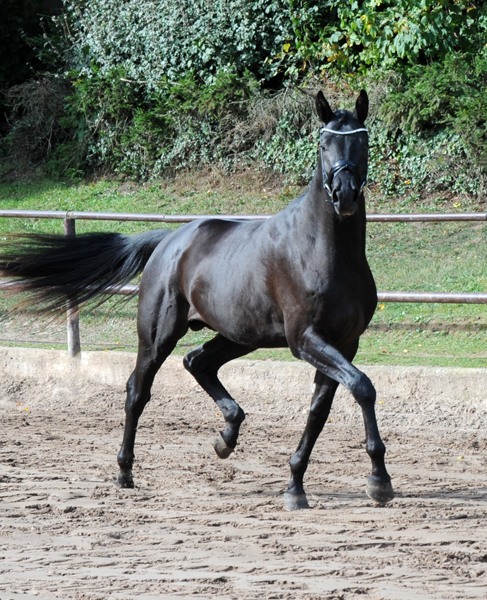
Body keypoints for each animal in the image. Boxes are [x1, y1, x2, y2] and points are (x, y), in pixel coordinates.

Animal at [0, 91, 394, 508]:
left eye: (363, 142)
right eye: (323, 144)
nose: (344, 195)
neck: (325, 250)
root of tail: (169, 241)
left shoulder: (343, 343)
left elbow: (321, 411)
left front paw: (296, 485)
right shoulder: (305, 339)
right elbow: (363, 387)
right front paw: (378, 480)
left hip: (240, 335)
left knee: (197, 362)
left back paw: (226, 439)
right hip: (158, 336)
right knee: (138, 391)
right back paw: (125, 472)